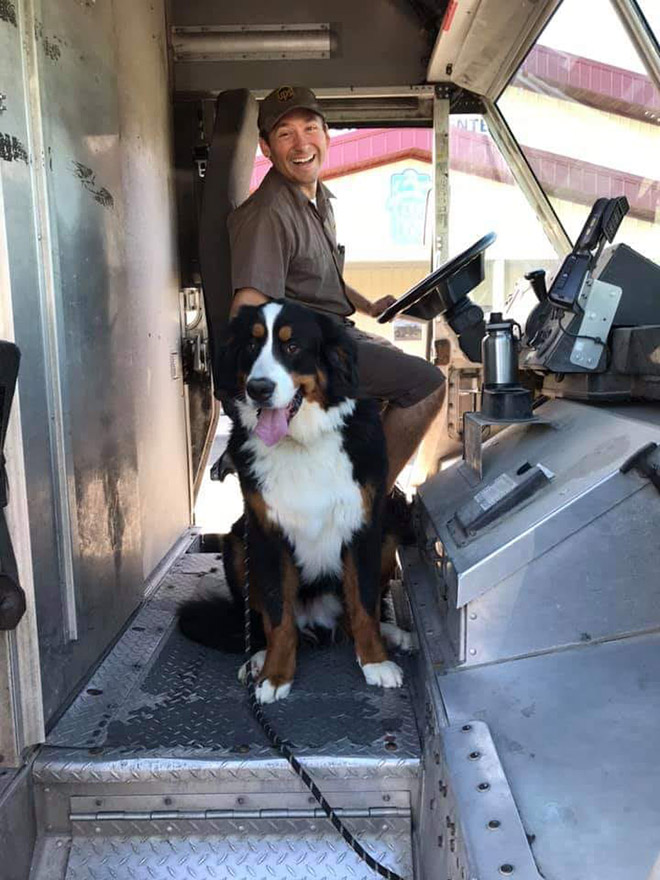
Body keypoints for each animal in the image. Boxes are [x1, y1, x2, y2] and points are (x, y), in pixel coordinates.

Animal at [178, 300, 410, 700]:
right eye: (252, 345)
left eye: (292, 346)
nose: (258, 388)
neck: (304, 442)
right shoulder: (267, 534)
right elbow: (278, 615)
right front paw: (275, 675)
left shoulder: (364, 527)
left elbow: (364, 605)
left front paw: (376, 661)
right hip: (237, 543)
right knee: (259, 621)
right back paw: (257, 658)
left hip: (389, 531)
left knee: (353, 616)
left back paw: (392, 634)